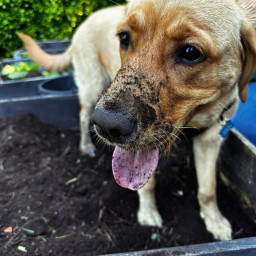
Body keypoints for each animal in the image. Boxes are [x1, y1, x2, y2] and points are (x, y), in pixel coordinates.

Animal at [19, 0, 256, 241]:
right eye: (124, 38)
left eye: (191, 52)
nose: (107, 126)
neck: (196, 119)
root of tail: (85, 22)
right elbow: (146, 185)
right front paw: (148, 215)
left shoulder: (210, 141)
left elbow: (208, 190)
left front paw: (214, 221)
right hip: (91, 88)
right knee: (83, 116)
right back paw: (86, 146)